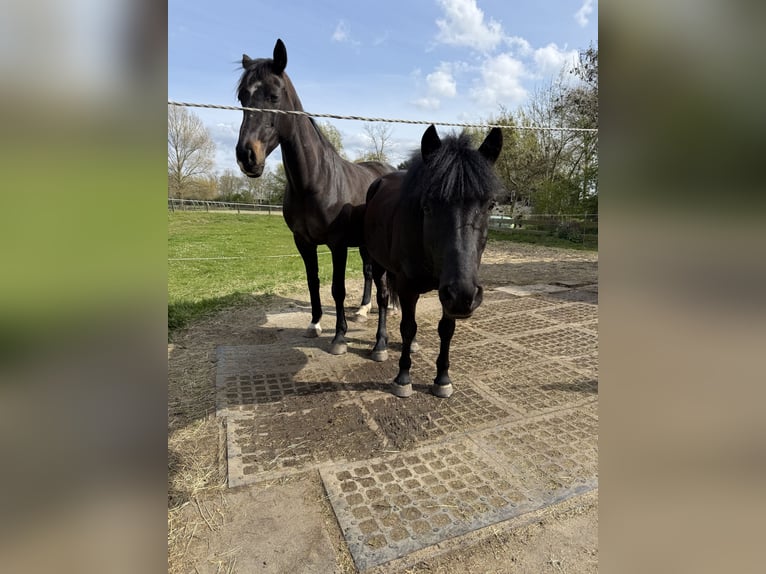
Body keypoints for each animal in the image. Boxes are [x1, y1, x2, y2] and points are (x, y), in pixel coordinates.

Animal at [235, 39, 395, 355]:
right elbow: (313, 282)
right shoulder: (303, 242)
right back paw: (363, 309)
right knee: (369, 273)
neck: (315, 182)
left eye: (274, 96)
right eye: (241, 97)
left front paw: (339, 337)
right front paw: (314, 324)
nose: (247, 156)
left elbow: (337, 288)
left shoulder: (337, 245)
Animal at [363, 124, 503, 398]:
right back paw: (380, 345)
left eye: (491, 205)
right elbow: (408, 326)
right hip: (378, 264)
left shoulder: (450, 292)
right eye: (427, 206)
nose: (464, 296)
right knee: (383, 299)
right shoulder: (408, 287)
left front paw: (442, 379)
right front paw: (403, 378)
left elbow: (446, 329)